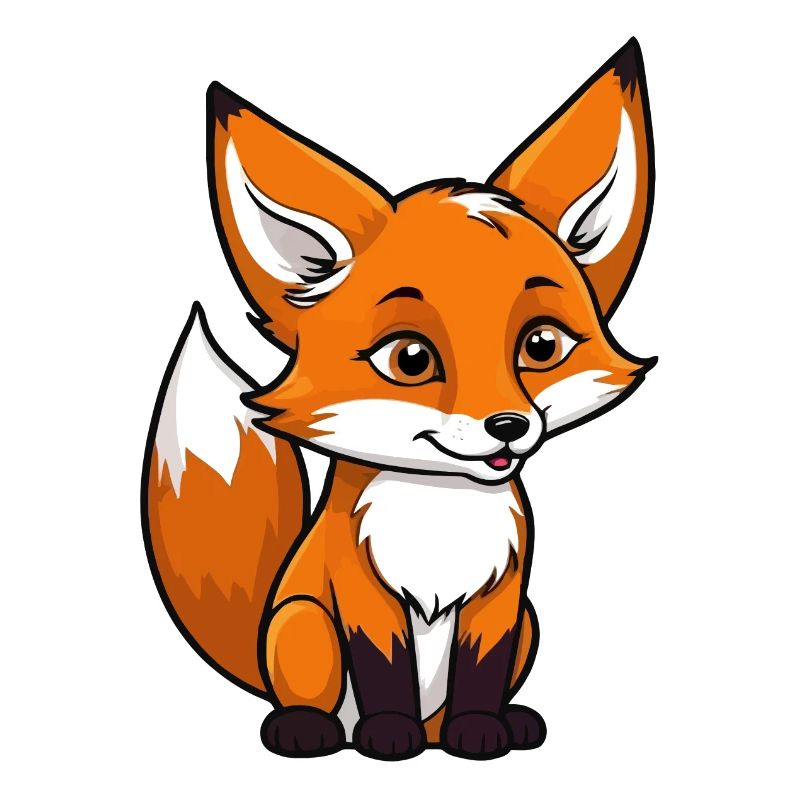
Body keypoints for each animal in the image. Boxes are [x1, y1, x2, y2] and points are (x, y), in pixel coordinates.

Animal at [143, 38, 655, 761]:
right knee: (312, 700)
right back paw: (312, 729)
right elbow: (383, 670)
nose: (508, 425)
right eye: (409, 359)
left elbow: (480, 674)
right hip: (302, 622)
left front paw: (479, 731)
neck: (437, 509)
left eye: (541, 345)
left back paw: (481, 727)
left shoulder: (502, 598)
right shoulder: (362, 592)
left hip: (530, 621)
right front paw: (389, 735)